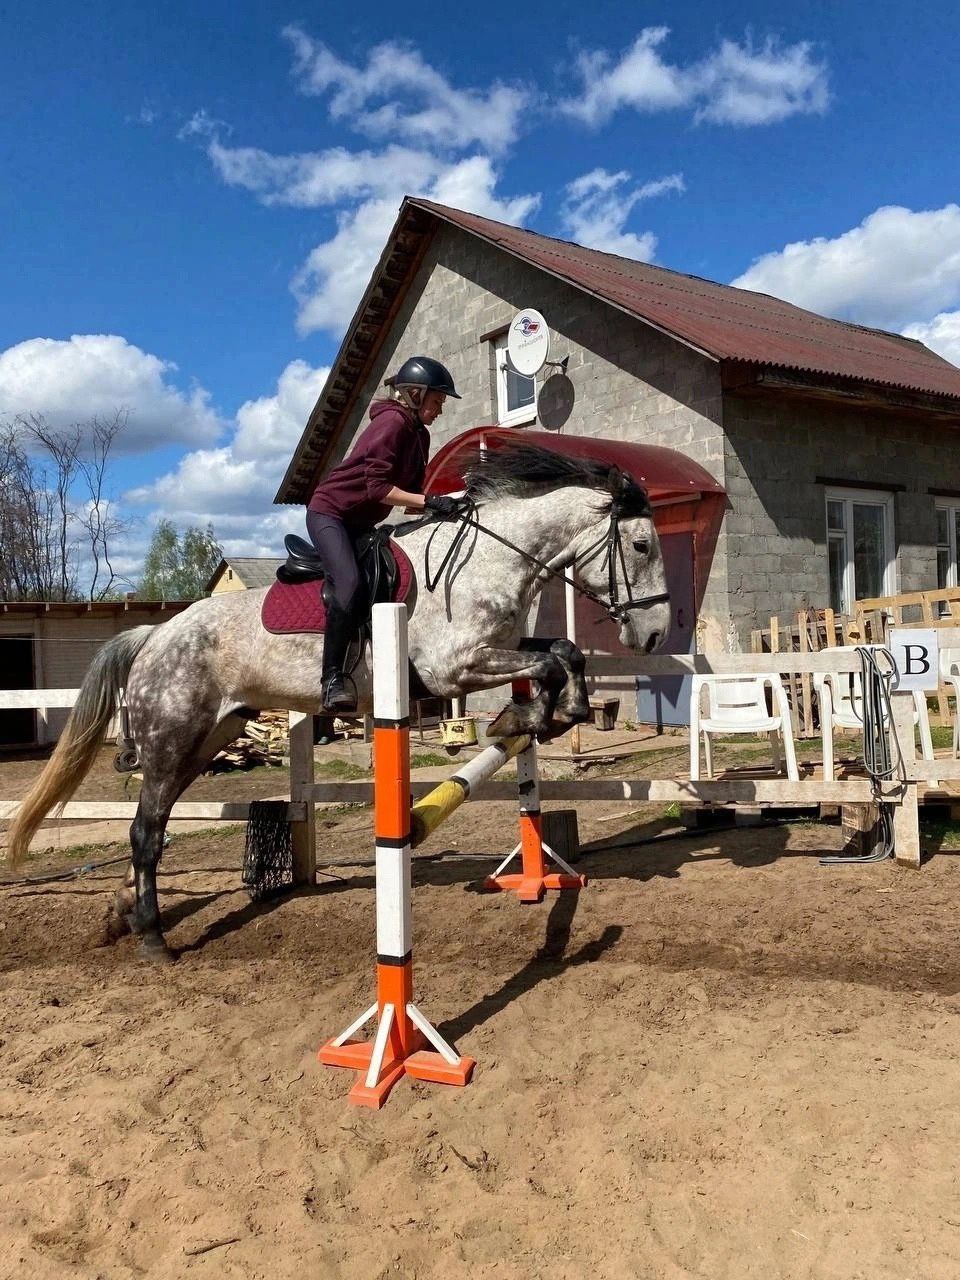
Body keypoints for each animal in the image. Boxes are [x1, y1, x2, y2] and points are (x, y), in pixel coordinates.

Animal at [7, 445, 670, 957]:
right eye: (641, 546)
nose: (656, 635)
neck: (488, 559)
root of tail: (154, 635)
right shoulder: (454, 666)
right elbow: (549, 662)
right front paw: (525, 715)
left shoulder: (495, 649)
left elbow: (563, 652)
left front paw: (550, 714)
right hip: (173, 740)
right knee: (146, 830)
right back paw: (152, 938)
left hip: (208, 739)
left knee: (156, 821)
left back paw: (122, 912)